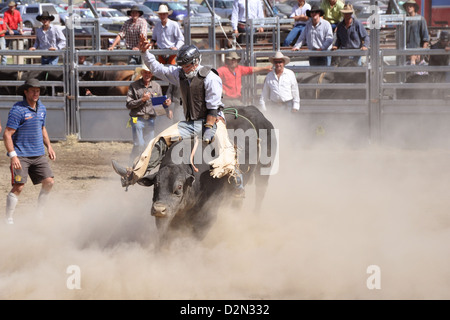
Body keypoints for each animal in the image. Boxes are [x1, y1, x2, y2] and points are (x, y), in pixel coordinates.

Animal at [137, 105, 278, 245]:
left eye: (179, 187)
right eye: (156, 185)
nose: (159, 209)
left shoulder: (209, 209)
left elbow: (199, 230)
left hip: (264, 169)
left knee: (260, 192)